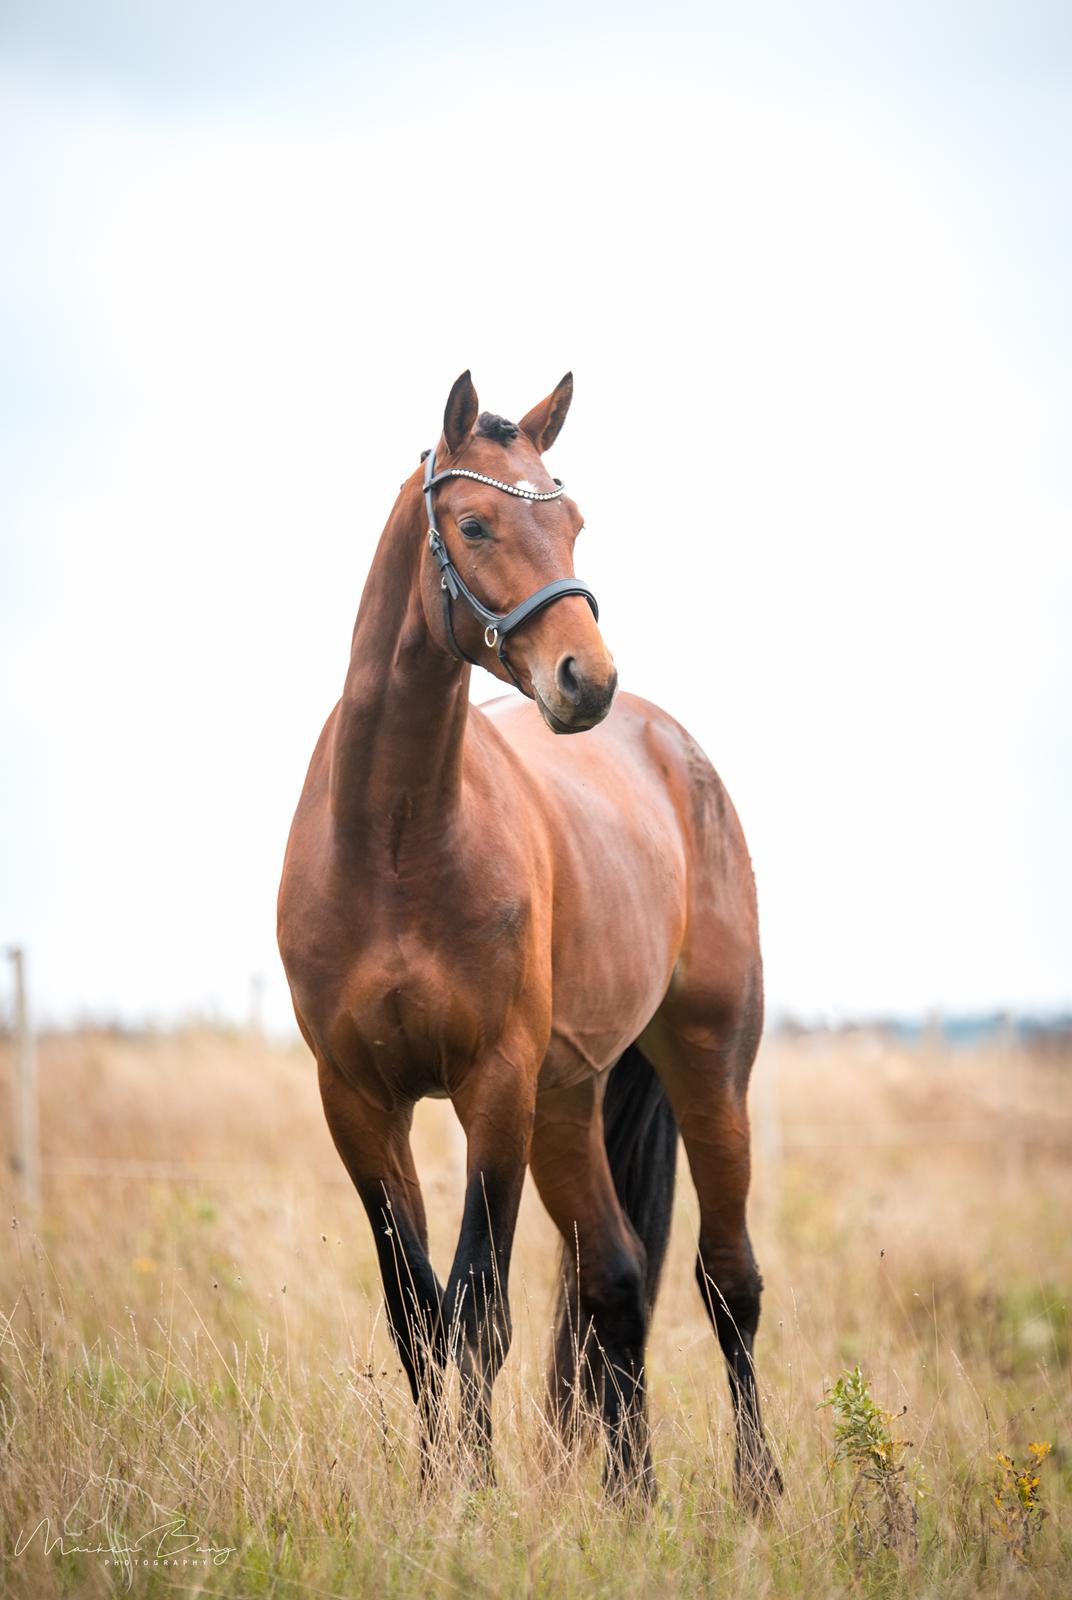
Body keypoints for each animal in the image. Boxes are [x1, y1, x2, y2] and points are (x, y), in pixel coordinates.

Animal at [276, 368, 780, 1504]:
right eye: (474, 522)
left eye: (575, 519)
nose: (584, 679)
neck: (396, 841)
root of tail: (669, 745)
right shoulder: (354, 1100)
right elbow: (417, 1314)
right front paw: (435, 1492)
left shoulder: (492, 1088)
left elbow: (479, 1311)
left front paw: (470, 1492)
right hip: (570, 1100)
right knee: (619, 1275)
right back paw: (631, 1497)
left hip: (705, 1067)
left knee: (727, 1282)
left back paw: (757, 1493)